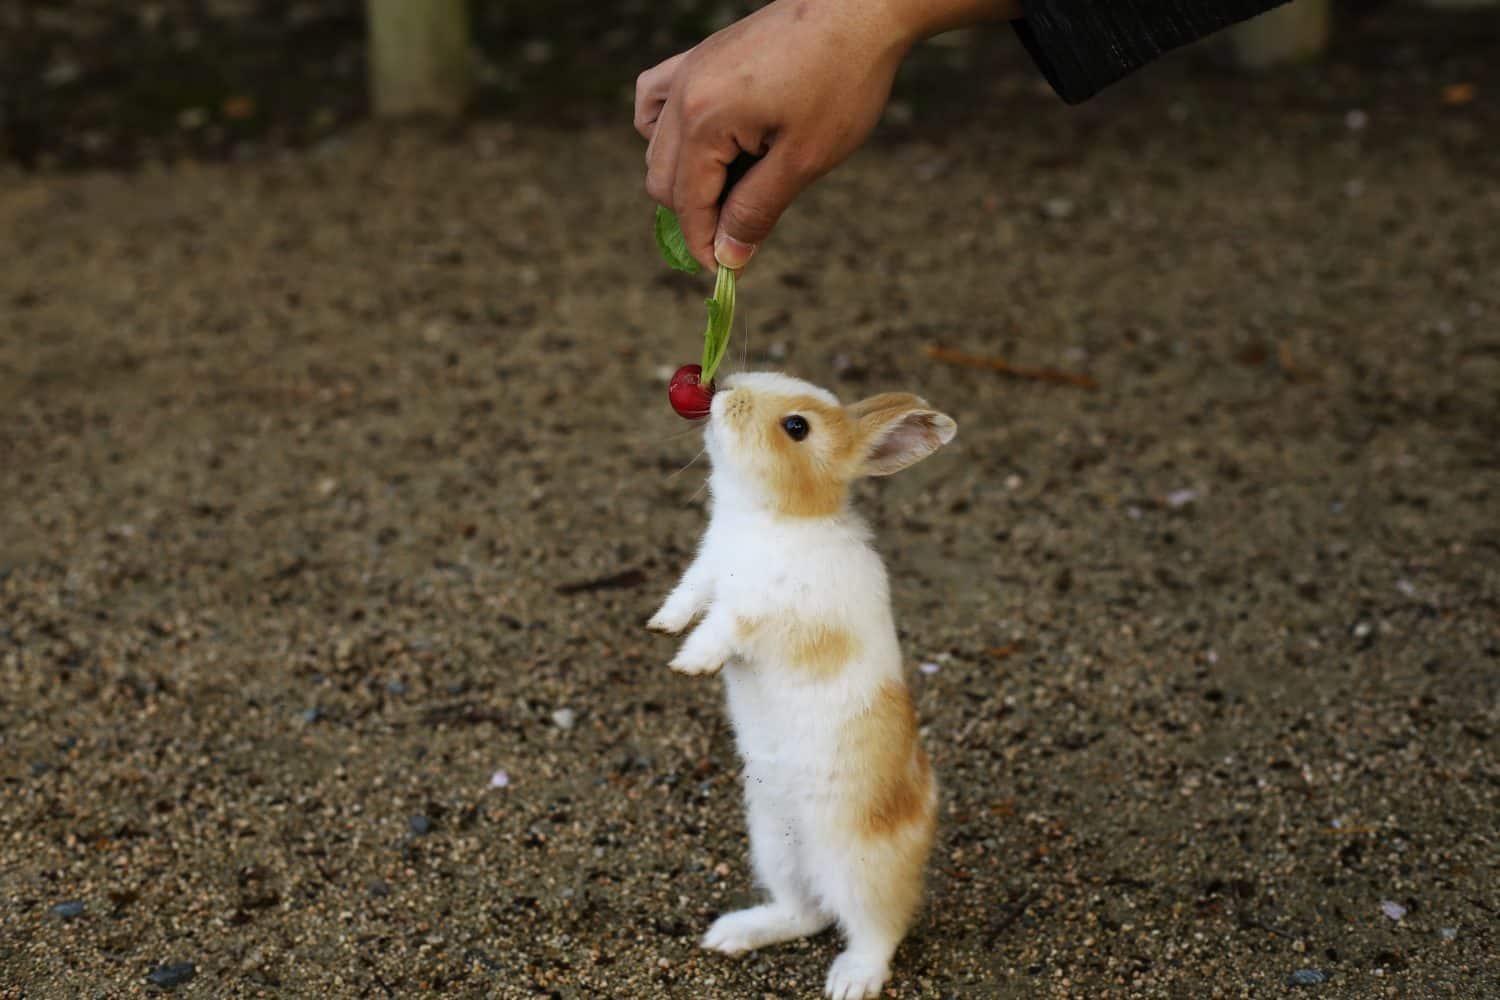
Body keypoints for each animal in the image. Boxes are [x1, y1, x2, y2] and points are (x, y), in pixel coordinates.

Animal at [648, 371, 960, 995]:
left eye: (797, 427)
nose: (724, 391)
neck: (775, 519)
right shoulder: (708, 572)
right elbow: (689, 595)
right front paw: (663, 625)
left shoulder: (771, 610)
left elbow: (726, 624)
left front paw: (691, 662)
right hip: (774, 846)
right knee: (807, 913)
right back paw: (731, 935)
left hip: (858, 868)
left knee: (878, 930)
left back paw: (849, 981)